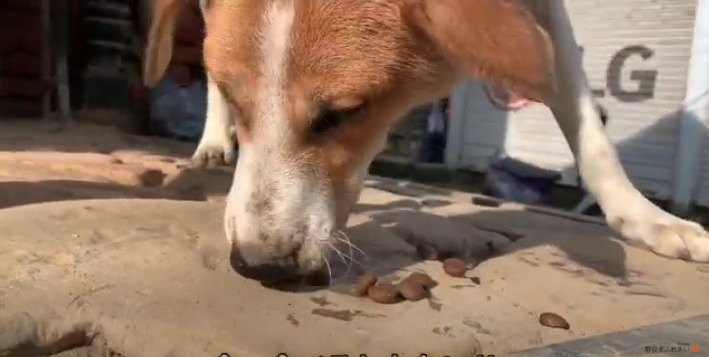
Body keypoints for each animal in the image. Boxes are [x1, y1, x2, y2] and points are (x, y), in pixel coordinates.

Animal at [144, 1, 708, 282]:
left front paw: (648, 219)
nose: (258, 265)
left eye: (344, 113)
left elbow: (589, 131)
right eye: (240, 102)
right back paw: (212, 142)